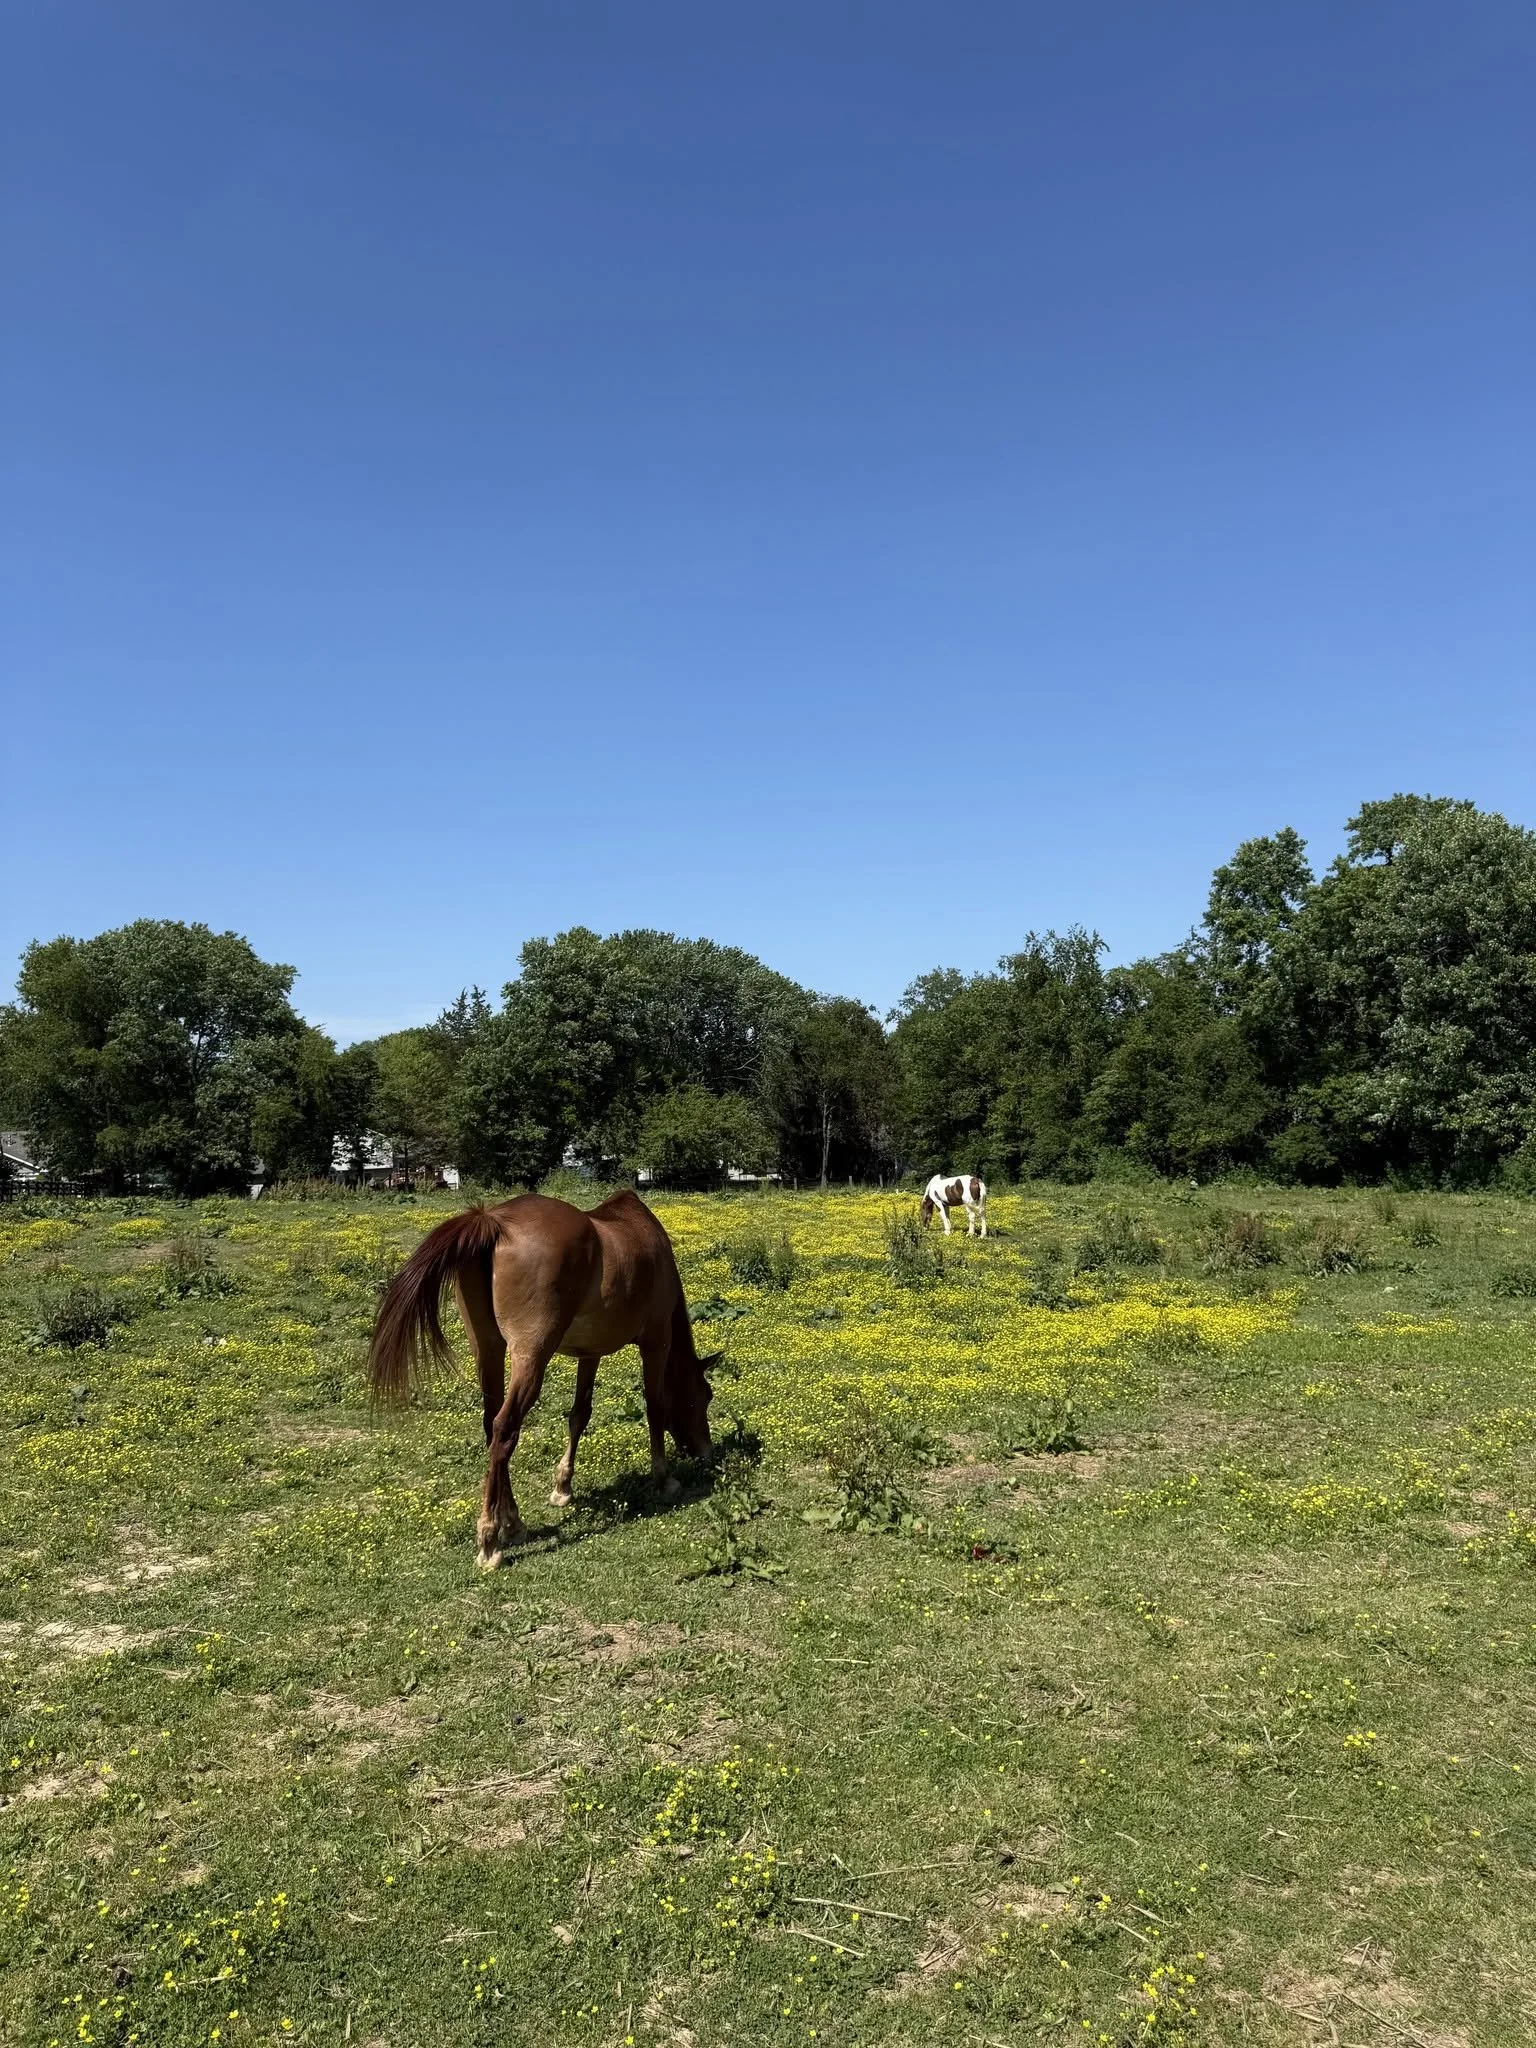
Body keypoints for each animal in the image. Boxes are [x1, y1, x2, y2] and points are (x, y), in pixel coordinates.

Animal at [367, 1191, 719, 1567]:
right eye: (705, 1395)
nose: (706, 1451)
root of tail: (493, 1220)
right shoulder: (656, 1341)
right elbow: (655, 1408)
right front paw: (664, 1480)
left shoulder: (590, 1352)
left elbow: (580, 1414)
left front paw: (563, 1486)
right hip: (531, 1355)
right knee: (505, 1429)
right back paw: (490, 1540)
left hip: (488, 1349)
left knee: (492, 1426)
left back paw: (513, 1523)